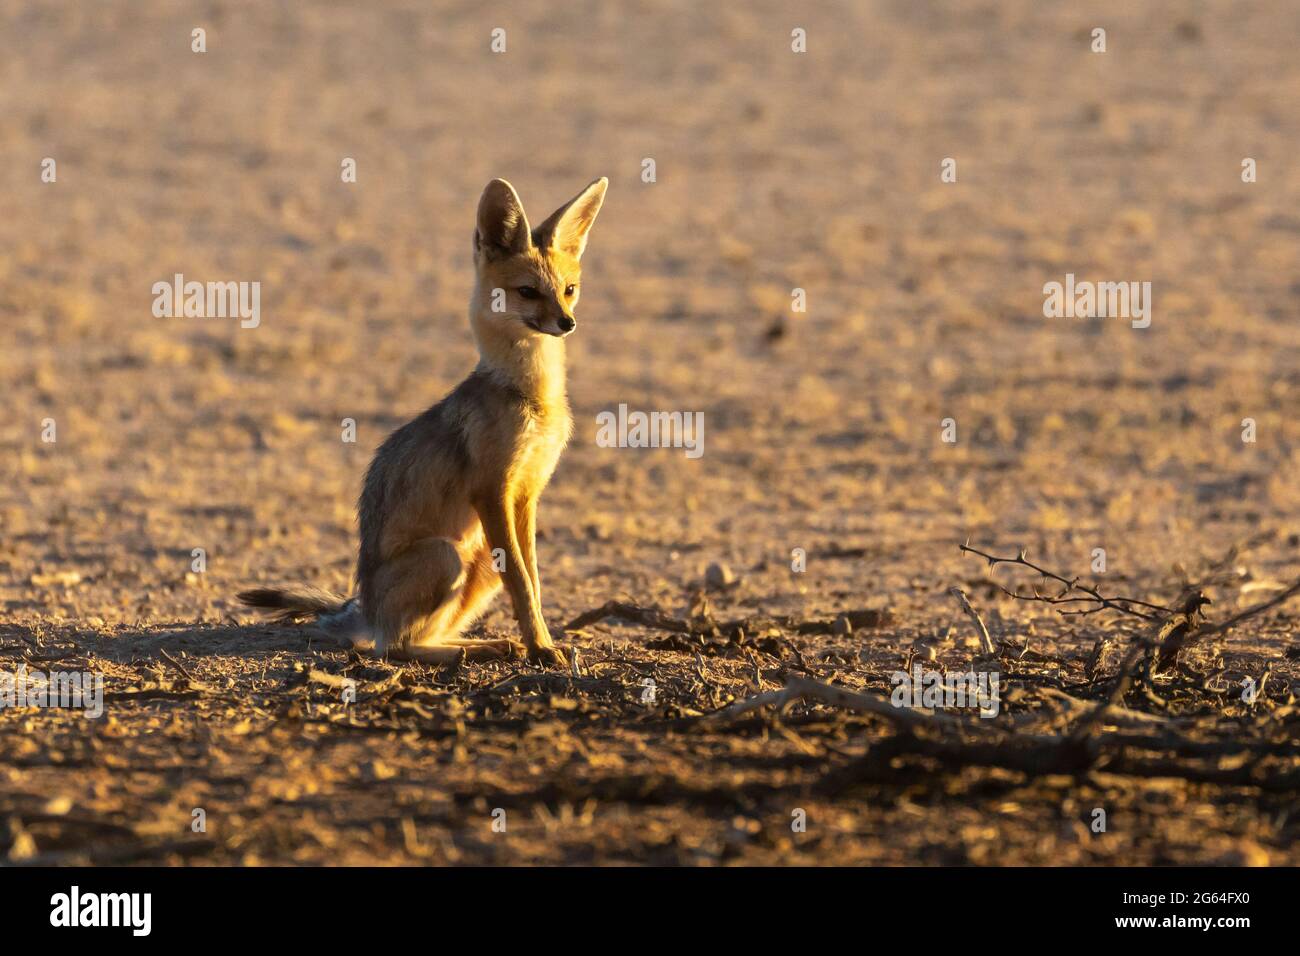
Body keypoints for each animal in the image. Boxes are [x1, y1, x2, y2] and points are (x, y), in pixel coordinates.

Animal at [240, 175, 608, 665]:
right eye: (528, 292)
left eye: (569, 289)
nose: (567, 322)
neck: (532, 397)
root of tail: (365, 609)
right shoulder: (493, 492)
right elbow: (522, 583)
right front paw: (542, 647)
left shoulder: (527, 495)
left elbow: (533, 579)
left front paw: (540, 641)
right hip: (446, 553)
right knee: (393, 646)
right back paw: (468, 653)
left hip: (476, 559)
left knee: (424, 635)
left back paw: (489, 645)